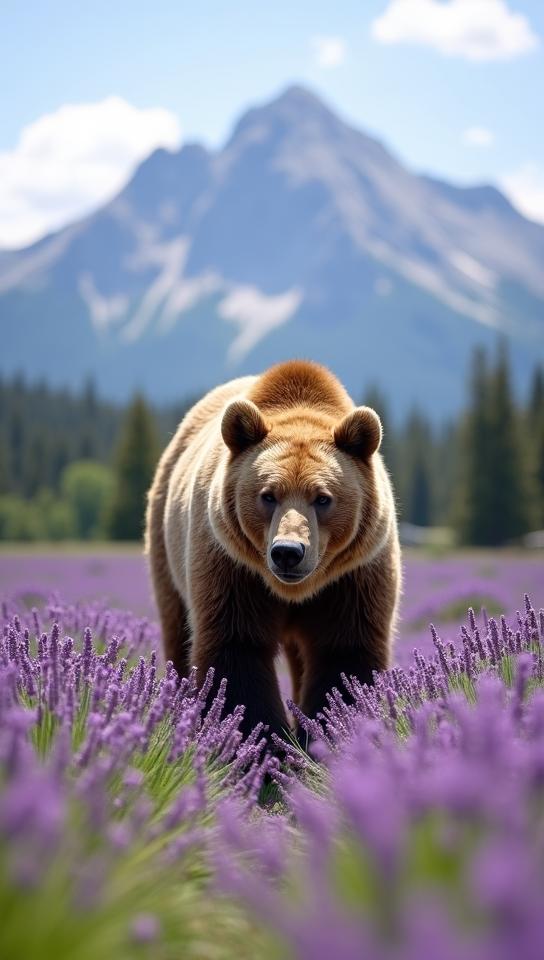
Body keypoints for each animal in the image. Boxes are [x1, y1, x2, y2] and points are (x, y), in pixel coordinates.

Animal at [145, 360, 401, 740]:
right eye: (268, 495)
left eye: (322, 498)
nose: (287, 551)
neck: (293, 590)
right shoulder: (232, 566)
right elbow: (236, 651)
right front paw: (260, 741)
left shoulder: (354, 575)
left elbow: (345, 655)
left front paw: (326, 735)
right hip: (166, 544)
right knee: (178, 629)